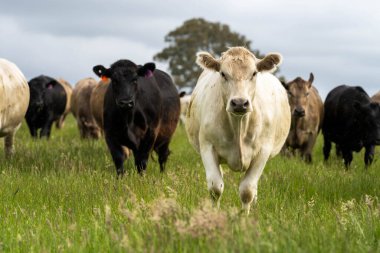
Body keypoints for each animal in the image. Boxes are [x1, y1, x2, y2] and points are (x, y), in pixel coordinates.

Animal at [186, 47, 290, 213]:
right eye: (223, 73)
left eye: (254, 73)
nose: (240, 103)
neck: (238, 125)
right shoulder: (207, 146)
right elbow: (216, 188)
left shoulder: (263, 151)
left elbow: (247, 190)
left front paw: (244, 217)